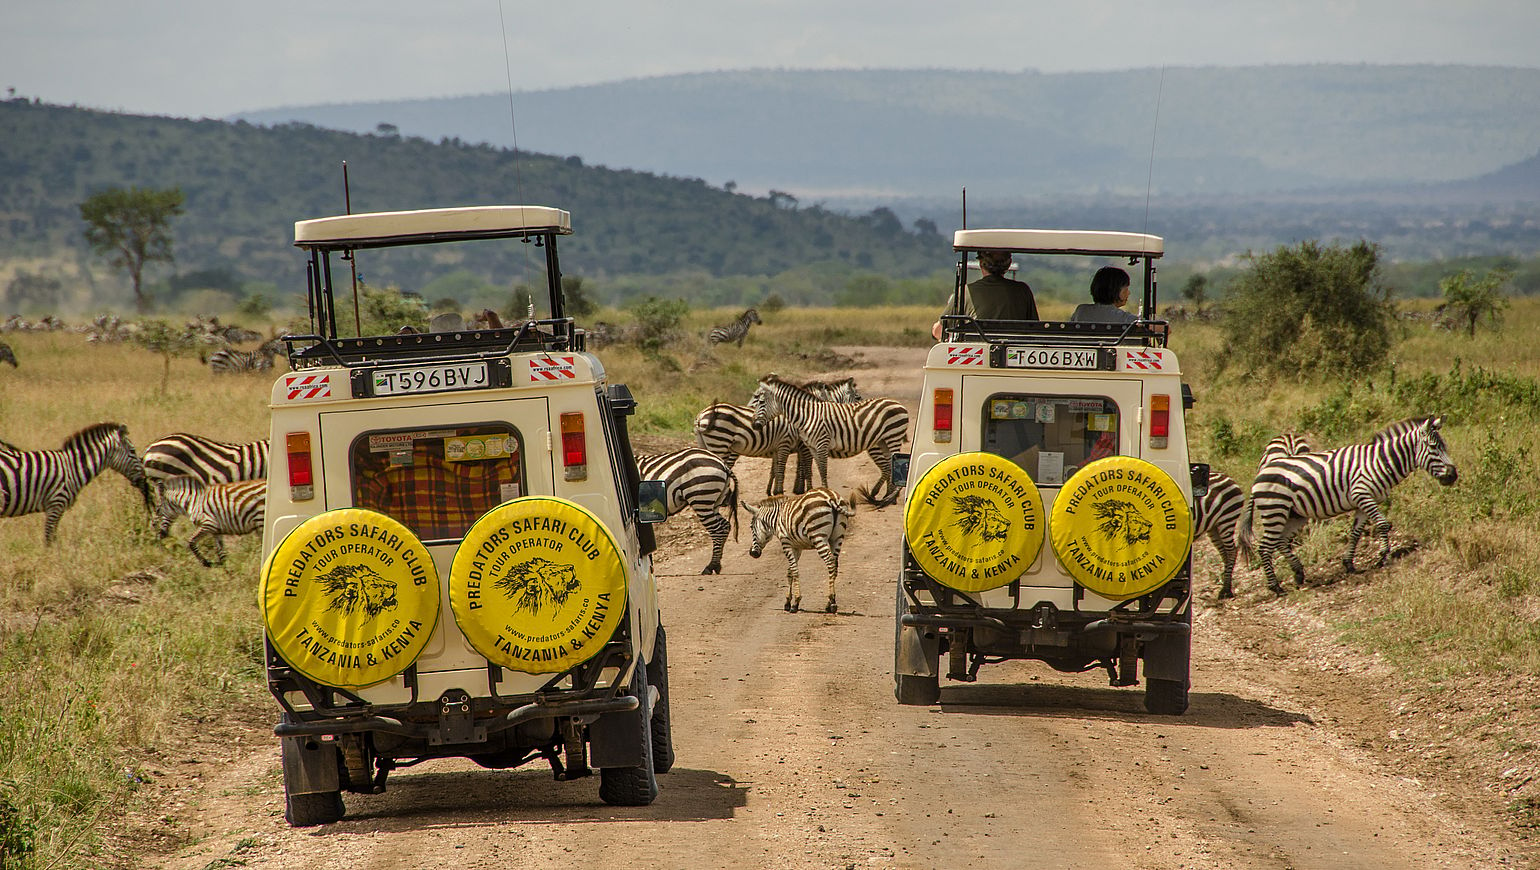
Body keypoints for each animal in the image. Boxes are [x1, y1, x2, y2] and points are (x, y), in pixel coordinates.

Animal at [0, 421, 150, 542]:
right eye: (133, 451)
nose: (144, 479)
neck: (72, 468)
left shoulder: (56, 508)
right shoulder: (56, 504)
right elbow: (50, 539)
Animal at [631, 446, 739, 575]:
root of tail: (722, 463)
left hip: (701, 498)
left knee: (717, 530)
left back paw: (711, 566)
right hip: (714, 501)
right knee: (725, 526)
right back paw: (717, 565)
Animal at [693, 372, 862, 495]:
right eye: (858, 397)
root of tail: (701, 415)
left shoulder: (784, 446)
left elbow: (777, 469)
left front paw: (776, 490)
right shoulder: (795, 444)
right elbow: (802, 466)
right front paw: (804, 489)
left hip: (709, 445)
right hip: (721, 444)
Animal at [748, 374, 905, 508]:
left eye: (761, 401)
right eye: (757, 399)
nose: (754, 425)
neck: (808, 415)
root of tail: (898, 403)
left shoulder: (820, 444)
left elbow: (820, 470)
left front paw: (821, 493)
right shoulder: (811, 446)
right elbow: (813, 469)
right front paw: (813, 491)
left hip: (891, 438)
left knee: (890, 466)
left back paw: (888, 497)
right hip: (884, 441)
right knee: (889, 467)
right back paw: (886, 496)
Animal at [1238, 415, 1453, 597]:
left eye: (1444, 446)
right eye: (1433, 447)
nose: (1453, 475)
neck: (1380, 462)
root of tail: (1259, 476)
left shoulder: (1362, 503)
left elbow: (1355, 533)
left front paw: (1349, 564)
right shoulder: (1362, 494)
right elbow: (1383, 524)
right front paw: (1383, 556)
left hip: (1295, 514)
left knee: (1281, 542)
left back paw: (1298, 573)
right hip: (1275, 509)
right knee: (1265, 547)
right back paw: (1276, 587)